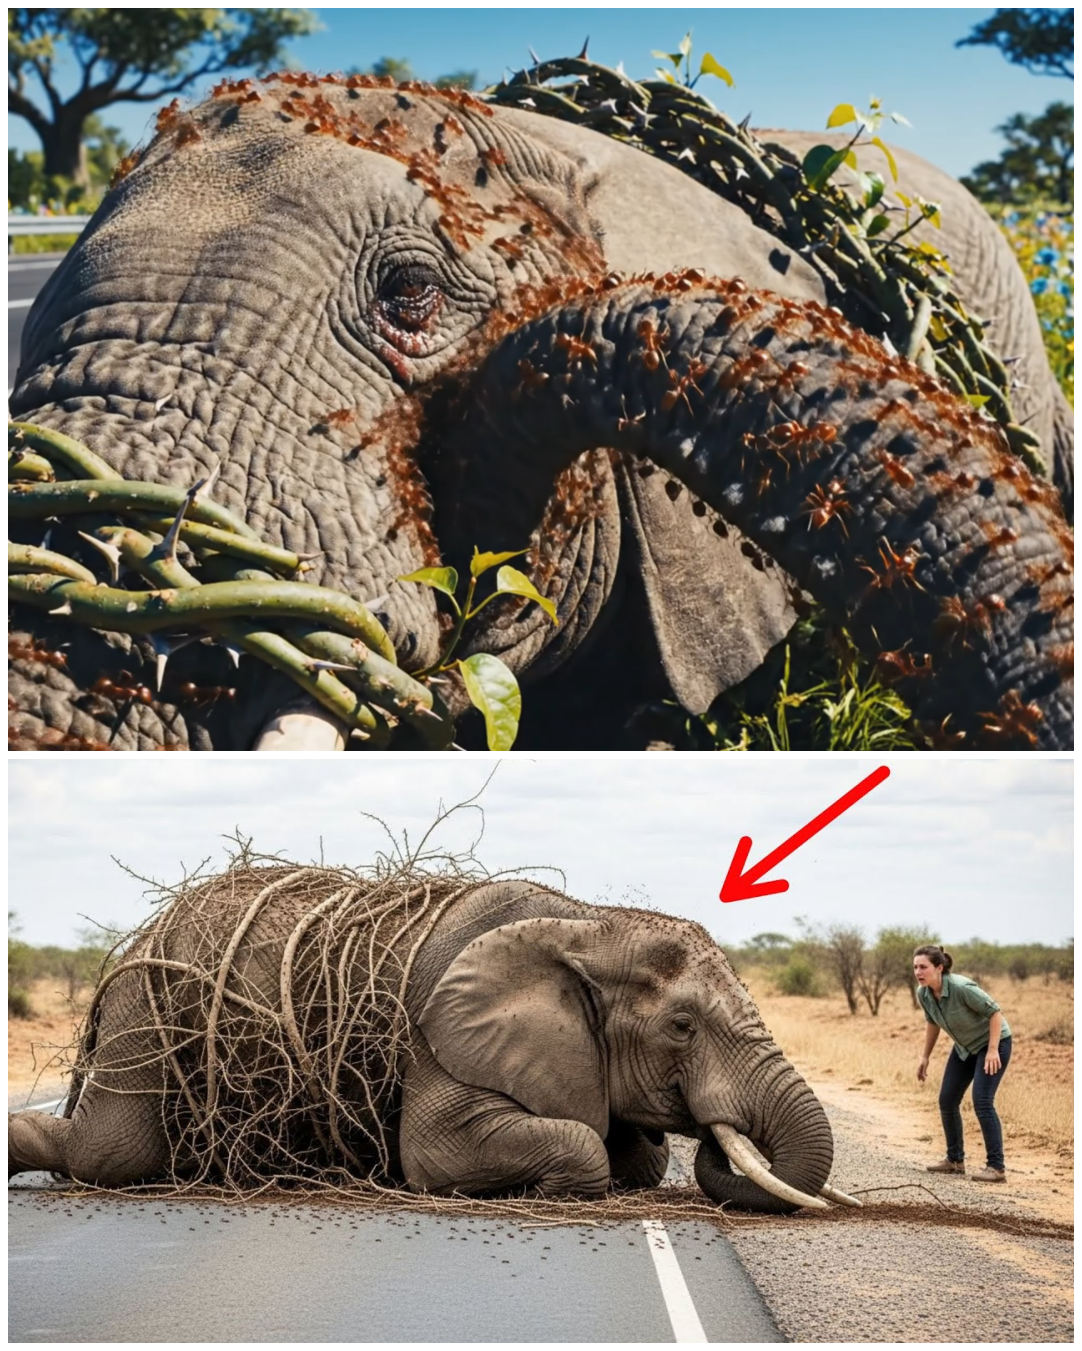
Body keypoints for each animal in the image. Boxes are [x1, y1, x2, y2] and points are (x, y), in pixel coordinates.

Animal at [8, 866, 854, 1213]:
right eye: (682, 1026)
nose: (721, 1130)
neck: (589, 920)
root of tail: (133, 943)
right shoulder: (440, 1034)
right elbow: (441, 1152)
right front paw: (547, 1188)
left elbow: (634, 1153)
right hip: (143, 1017)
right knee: (113, 1152)